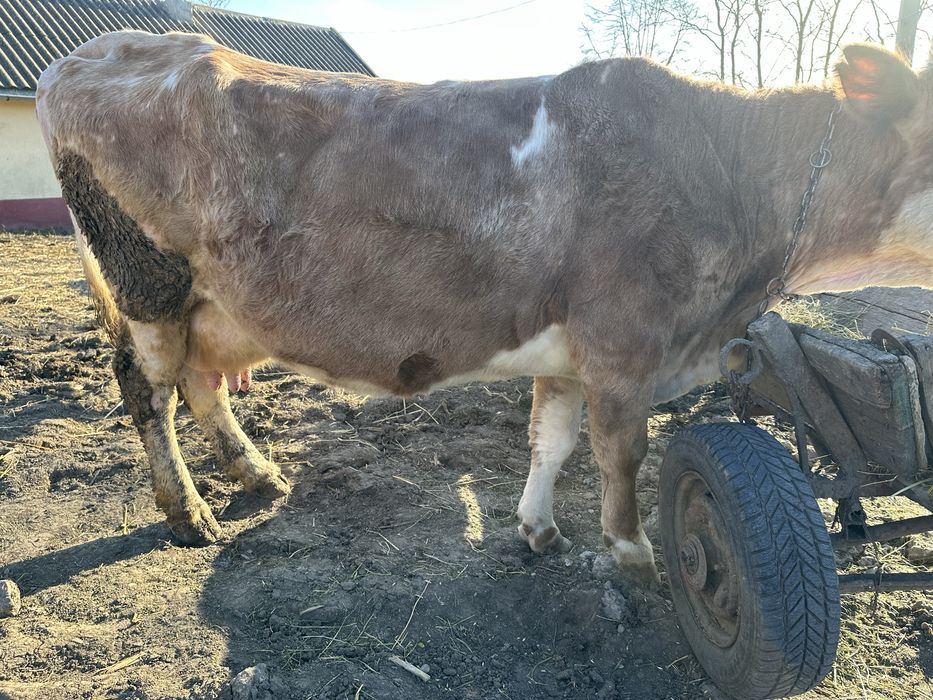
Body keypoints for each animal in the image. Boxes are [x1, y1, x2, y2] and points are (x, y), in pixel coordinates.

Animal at [35, 30, 933, 584]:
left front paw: (537, 528)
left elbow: (551, 439)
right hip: (146, 282)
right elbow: (620, 453)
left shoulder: (572, 348)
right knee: (146, 388)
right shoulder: (624, 341)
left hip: (210, 304)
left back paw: (252, 471)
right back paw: (187, 510)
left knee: (201, 383)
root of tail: (94, 53)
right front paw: (633, 554)